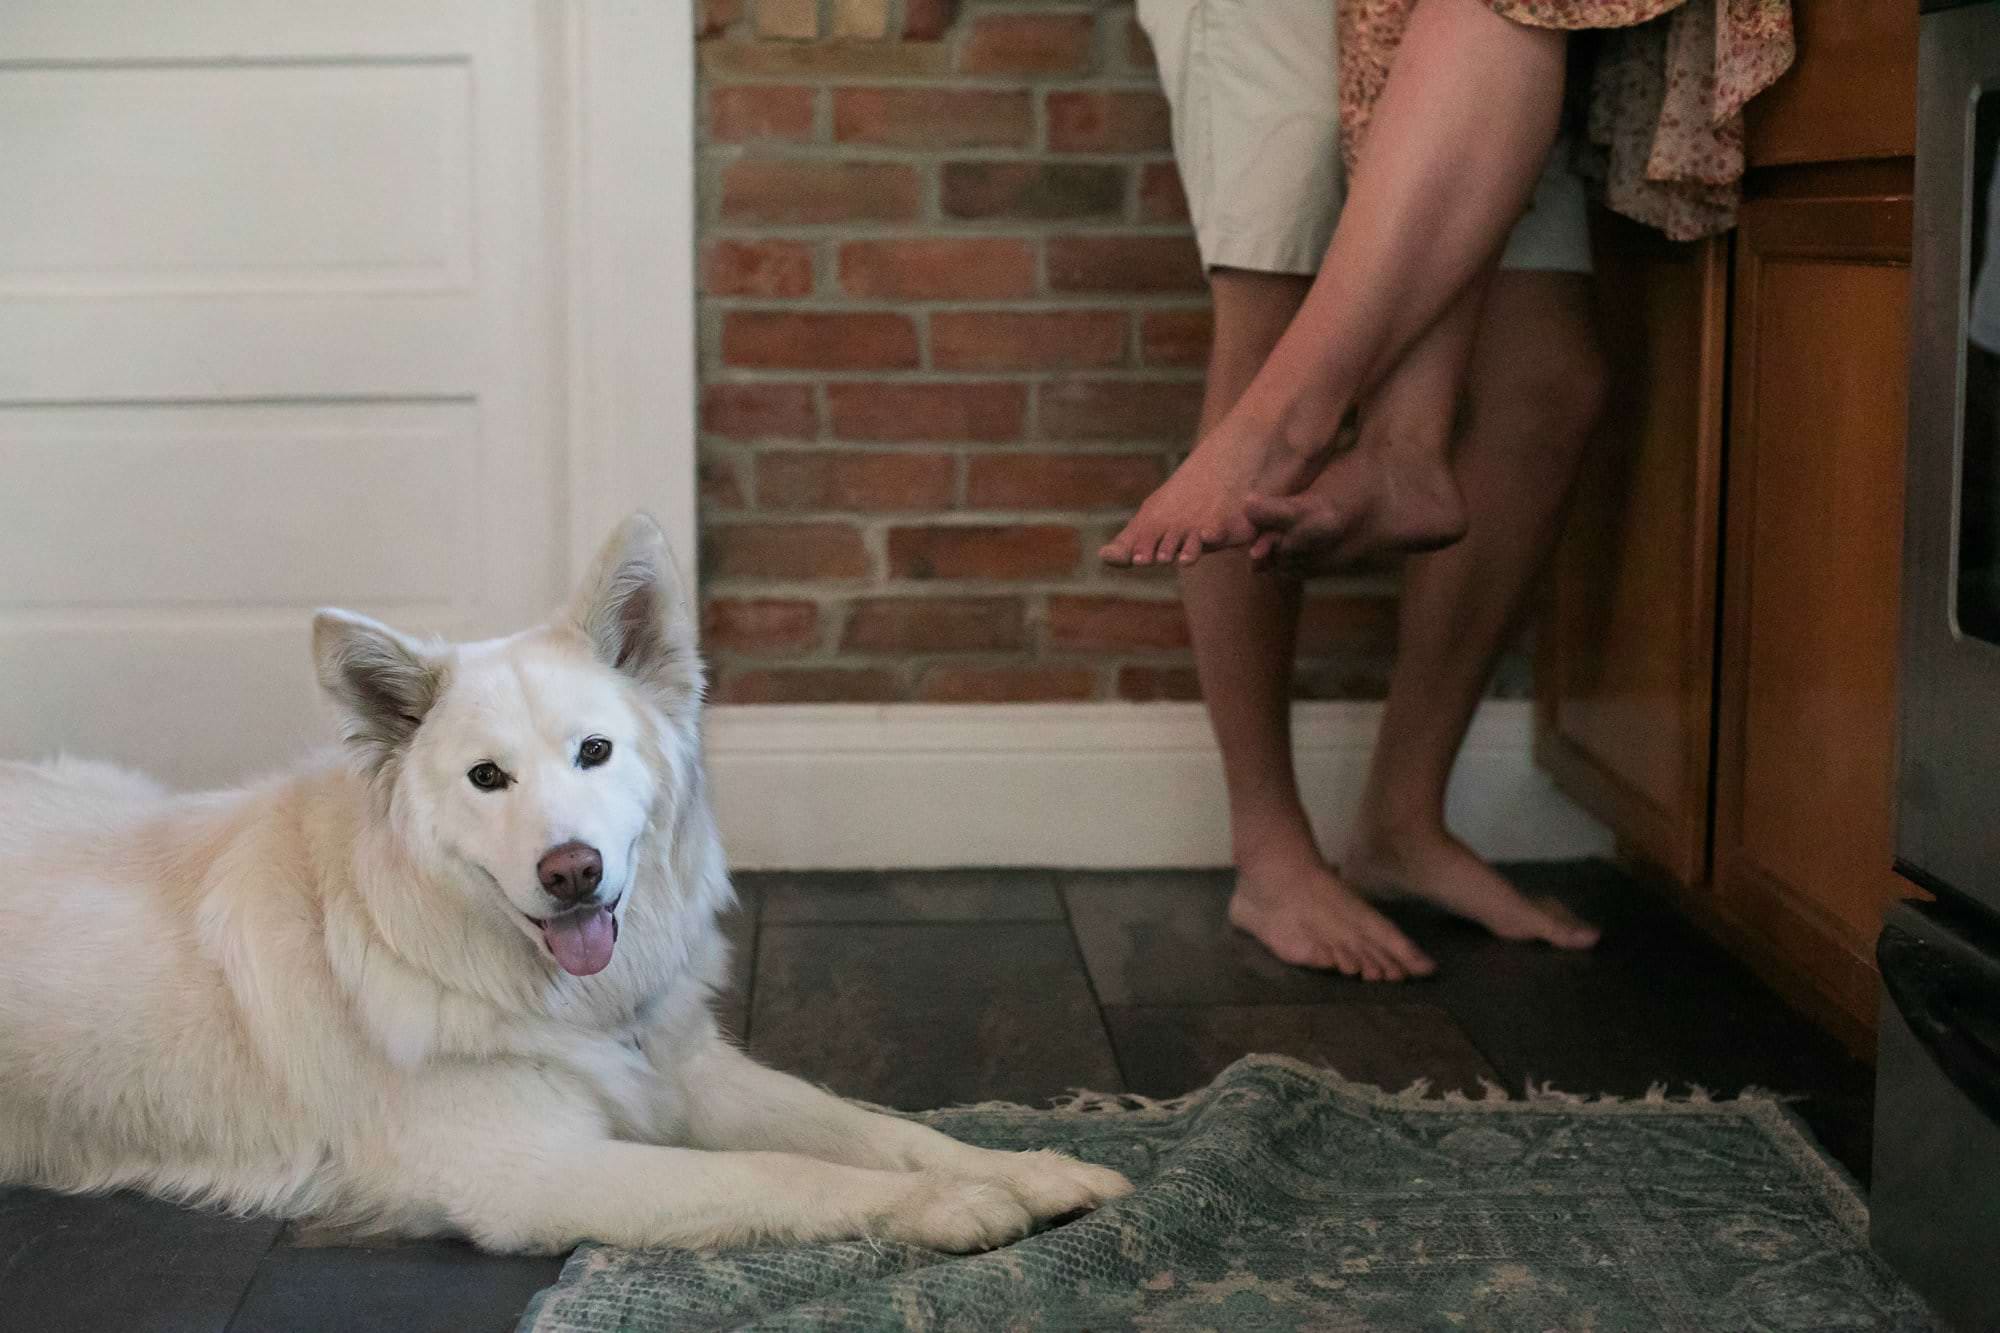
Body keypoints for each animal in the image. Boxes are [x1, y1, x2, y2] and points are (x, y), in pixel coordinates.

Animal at [0, 512, 1128, 1248]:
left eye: (594, 751)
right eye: (486, 777)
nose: (571, 870)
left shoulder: (686, 1072)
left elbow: (878, 1129)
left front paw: (1026, 1170)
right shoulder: (541, 1174)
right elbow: (786, 1172)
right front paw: (951, 1210)